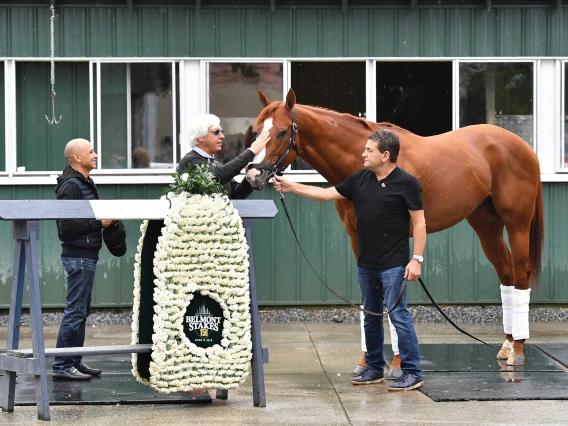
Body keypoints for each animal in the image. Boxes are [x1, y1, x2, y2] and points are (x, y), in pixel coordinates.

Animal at [251, 86, 544, 366]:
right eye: (256, 130)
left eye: (281, 132)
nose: (254, 174)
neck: (370, 169)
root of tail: (522, 145)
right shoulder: (359, 239)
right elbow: (370, 296)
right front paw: (368, 362)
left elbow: (392, 298)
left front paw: (395, 363)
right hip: (485, 225)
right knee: (506, 273)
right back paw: (506, 345)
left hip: (516, 223)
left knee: (521, 274)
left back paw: (518, 350)